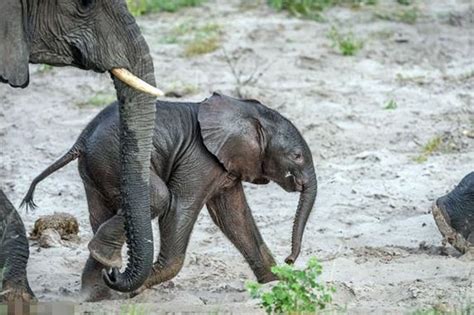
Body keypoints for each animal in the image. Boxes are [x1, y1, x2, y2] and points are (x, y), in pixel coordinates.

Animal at [22, 93, 318, 302]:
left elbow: (235, 217)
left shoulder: (226, 165)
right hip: (114, 159)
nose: (290, 259)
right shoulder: (199, 159)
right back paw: (110, 274)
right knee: (158, 198)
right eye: (297, 156)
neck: (245, 111)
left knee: (102, 213)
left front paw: (276, 284)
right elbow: (180, 208)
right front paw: (137, 289)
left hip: (97, 168)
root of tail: (82, 139)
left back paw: (97, 290)